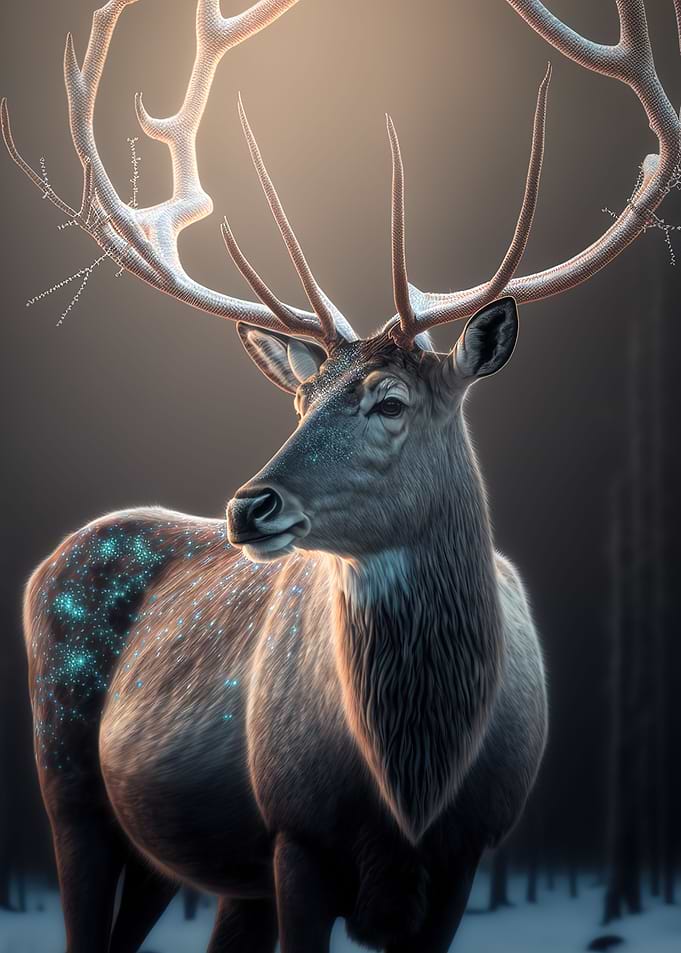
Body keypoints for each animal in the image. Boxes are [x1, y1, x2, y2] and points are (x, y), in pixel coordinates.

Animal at [3, 0, 679, 951]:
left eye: (389, 401)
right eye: (300, 396)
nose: (250, 505)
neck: (411, 789)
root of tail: (45, 565)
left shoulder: (469, 854)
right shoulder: (295, 834)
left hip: (181, 857)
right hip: (69, 786)